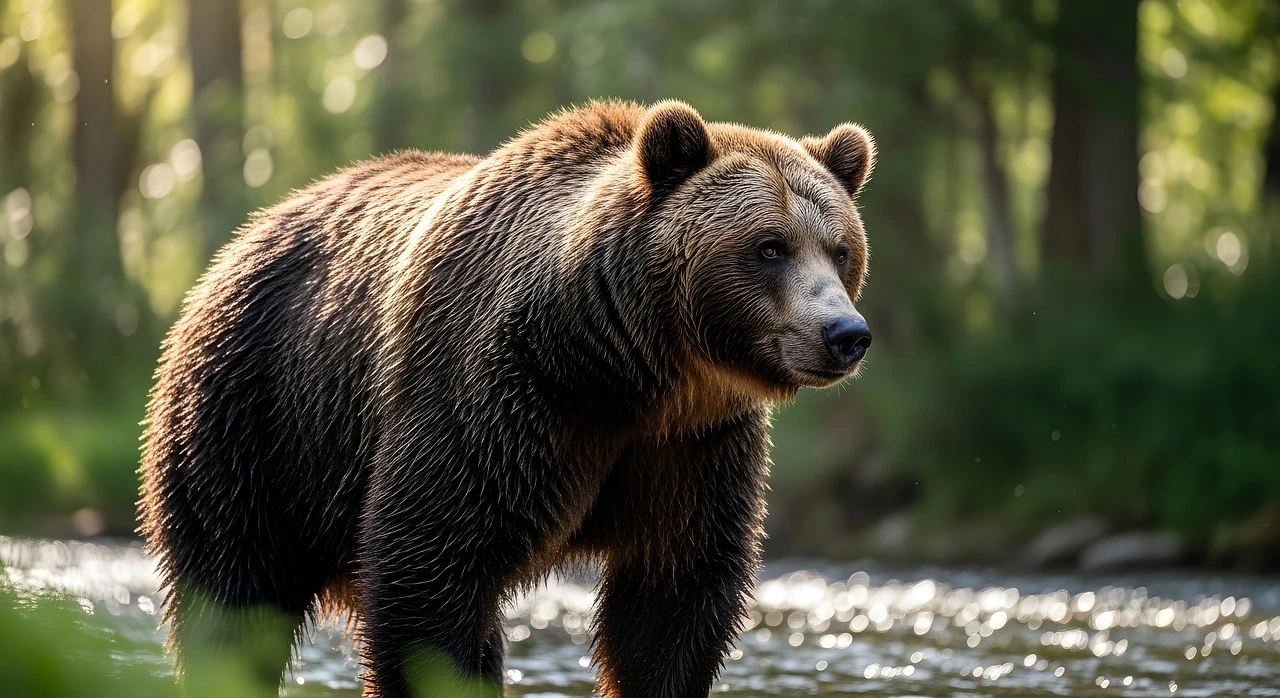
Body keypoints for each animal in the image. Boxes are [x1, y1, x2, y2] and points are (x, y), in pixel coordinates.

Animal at [138, 100, 875, 698]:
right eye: (770, 246)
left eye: (840, 249)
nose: (845, 334)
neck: (626, 366)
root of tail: (246, 237)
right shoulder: (497, 399)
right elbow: (428, 569)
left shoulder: (692, 444)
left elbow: (674, 593)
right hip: (255, 425)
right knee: (232, 600)